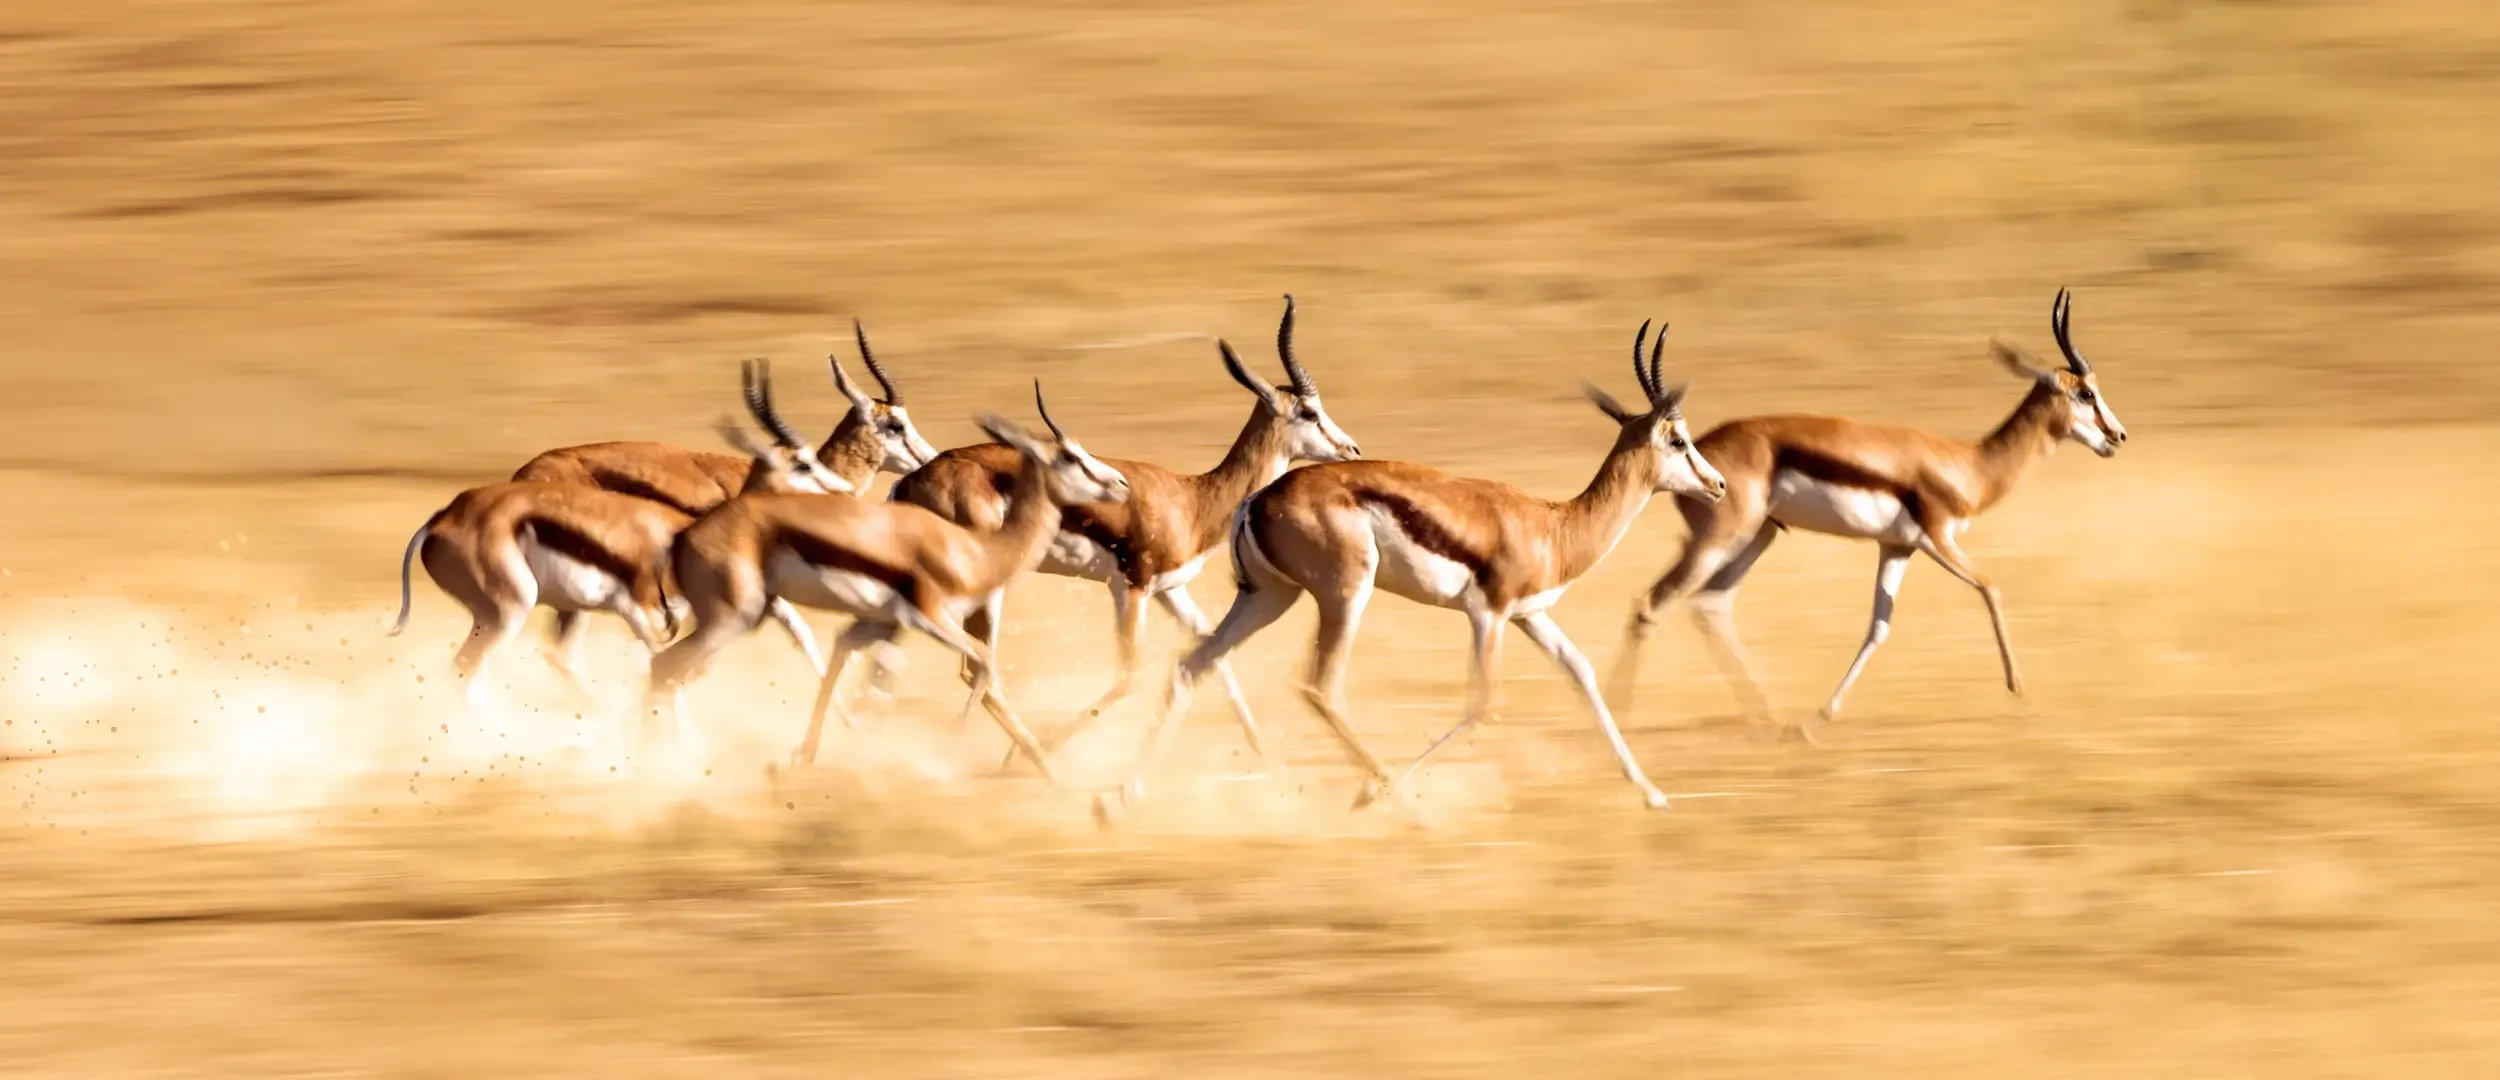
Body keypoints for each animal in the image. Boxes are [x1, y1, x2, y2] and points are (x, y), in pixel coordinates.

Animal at [390, 360, 847, 711]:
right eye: (802, 463)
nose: (841, 492)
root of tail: (441, 519)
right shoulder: (646, 611)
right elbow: (667, 672)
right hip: (510, 612)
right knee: (474, 669)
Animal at [643, 381, 1134, 782]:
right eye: (1069, 456)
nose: (1121, 483)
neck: (977, 551)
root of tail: (683, 536)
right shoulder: (932, 619)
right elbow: (983, 664)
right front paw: (952, 746)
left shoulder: (875, 623)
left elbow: (842, 661)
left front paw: (800, 758)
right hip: (732, 619)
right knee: (663, 669)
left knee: (669, 672)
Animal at [879, 294, 1362, 768]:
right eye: (1309, 411)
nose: (1352, 449)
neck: (1194, 500)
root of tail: (911, 481)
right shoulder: (1131, 587)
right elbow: (1130, 673)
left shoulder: (1171, 590)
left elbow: (1211, 650)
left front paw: (1262, 750)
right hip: (980, 587)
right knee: (976, 668)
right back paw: (1028, 760)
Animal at [1105, 320, 1727, 819]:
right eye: (1678, 438)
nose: (1719, 484)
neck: (1553, 526)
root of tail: (1256, 500)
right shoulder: (1489, 615)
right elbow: (1484, 703)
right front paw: (1375, 795)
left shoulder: (1530, 616)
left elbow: (1581, 672)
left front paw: (1653, 793)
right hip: (1345, 596)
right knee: (1320, 686)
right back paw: (1394, 802)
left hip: (1267, 597)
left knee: (1193, 666)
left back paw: (1116, 801)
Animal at [1605, 288, 2129, 742]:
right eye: (2085, 393)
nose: (2118, 436)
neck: (1972, 464)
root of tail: (1696, 453)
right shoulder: (1938, 539)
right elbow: (1991, 586)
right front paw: (2020, 690)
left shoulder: (1896, 548)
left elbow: (1878, 627)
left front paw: (1824, 714)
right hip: (1720, 540)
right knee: (1652, 603)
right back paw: (1622, 716)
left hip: (1756, 538)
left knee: (1710, 606)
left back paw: (1773, 719)